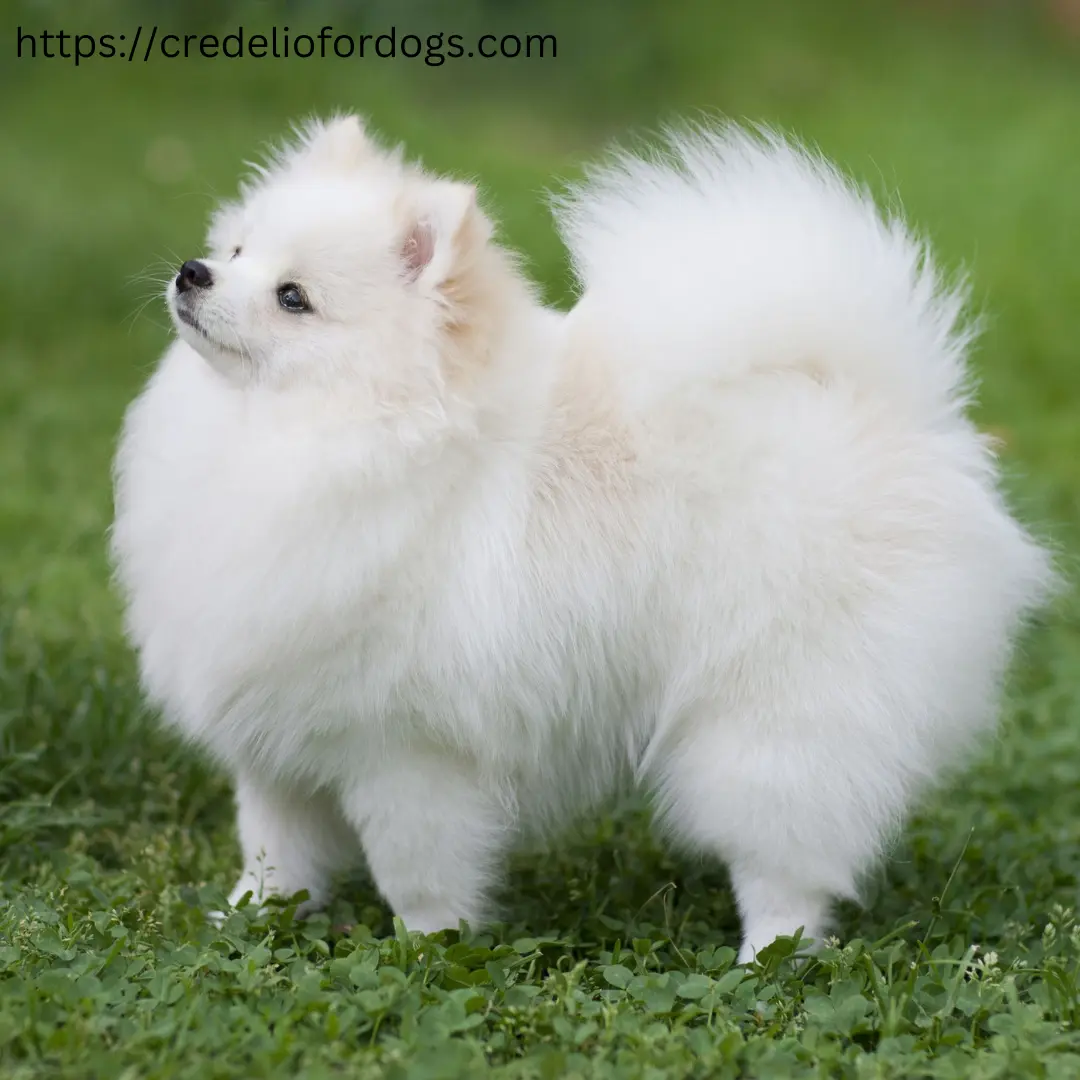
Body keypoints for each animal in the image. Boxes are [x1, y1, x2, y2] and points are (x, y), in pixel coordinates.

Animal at [109, 116, 1054, 963]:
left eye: (293, 297)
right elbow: (276, 853)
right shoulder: (280, 736)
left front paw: (428, 950)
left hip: (772, 720)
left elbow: (418, 873)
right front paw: (246, 920)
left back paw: (765, 961)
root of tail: (895, 411)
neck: (316, 436)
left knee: (785, 862)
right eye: (237, 251)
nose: (193, 273)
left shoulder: (408, 750)